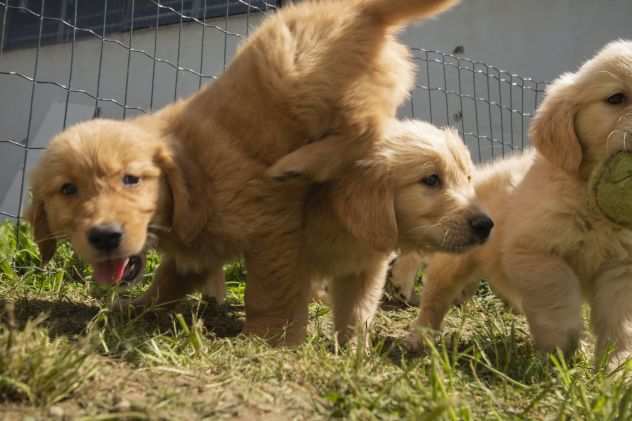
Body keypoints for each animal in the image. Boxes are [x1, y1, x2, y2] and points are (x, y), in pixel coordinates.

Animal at [27, 0, 460, 342]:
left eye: (131, 179)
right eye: (68, 190)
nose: (104, 237)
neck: (192, 170)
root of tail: (362, 8)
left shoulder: (272, 227)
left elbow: (269, 289)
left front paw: (267, 338)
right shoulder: (197, 252)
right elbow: (168, 281)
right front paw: (137, 307)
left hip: (293, 73)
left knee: (368, 128)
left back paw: (297, 164)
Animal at [254, 119, 492, 344]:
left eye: (468, 178)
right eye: (431, 179)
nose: (486, 225)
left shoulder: (363, 268)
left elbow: (357, 312)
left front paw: (355, 351)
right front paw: (282, 343)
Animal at [408, 40, 632, 368]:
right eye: (616, 98)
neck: (590, 200)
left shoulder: (621, 268)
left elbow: (619, 321)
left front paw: (616, 366)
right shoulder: (534, 251)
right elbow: (559, 294)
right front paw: (564, 342)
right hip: (455, 260)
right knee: (435, 296)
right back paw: (419, 338)